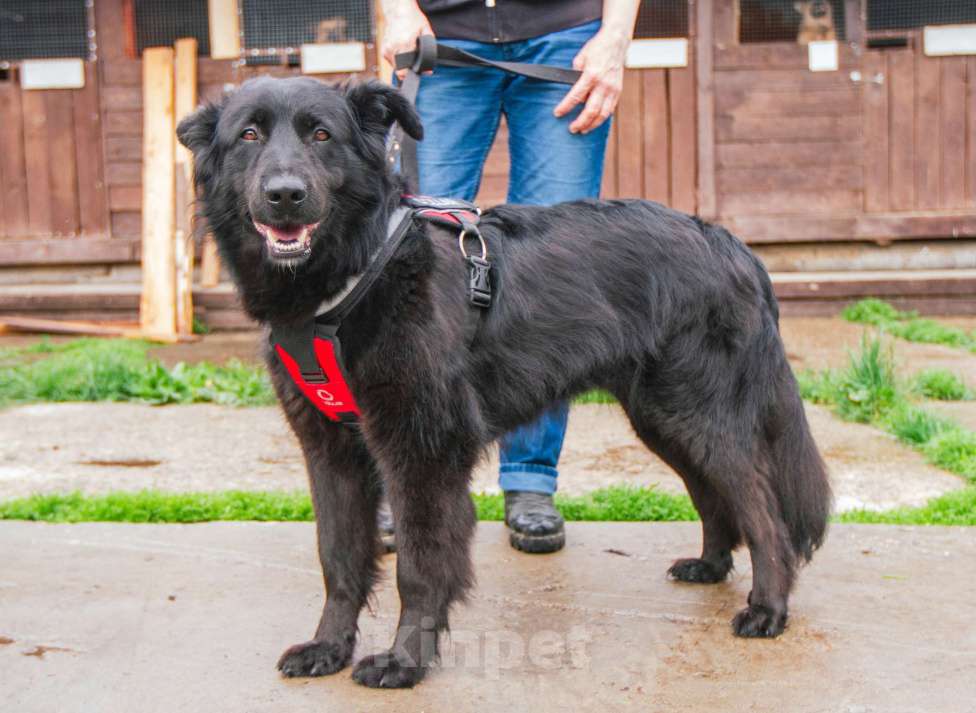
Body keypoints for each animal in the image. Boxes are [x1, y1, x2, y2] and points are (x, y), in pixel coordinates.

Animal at [177, 78, 832, 688]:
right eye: (249, 135)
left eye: (320, 135)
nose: (285, 195)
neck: (357, 274)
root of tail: (729, 243)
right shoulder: (331, 450)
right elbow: (338, 559)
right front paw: (328, 647)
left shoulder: (423, 452)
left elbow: (419, 566)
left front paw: (404, 661)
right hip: (663, 419)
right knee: (713, 494)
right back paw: (711, 566)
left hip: (700, 415)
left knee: (763, 509)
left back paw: (768, 608)